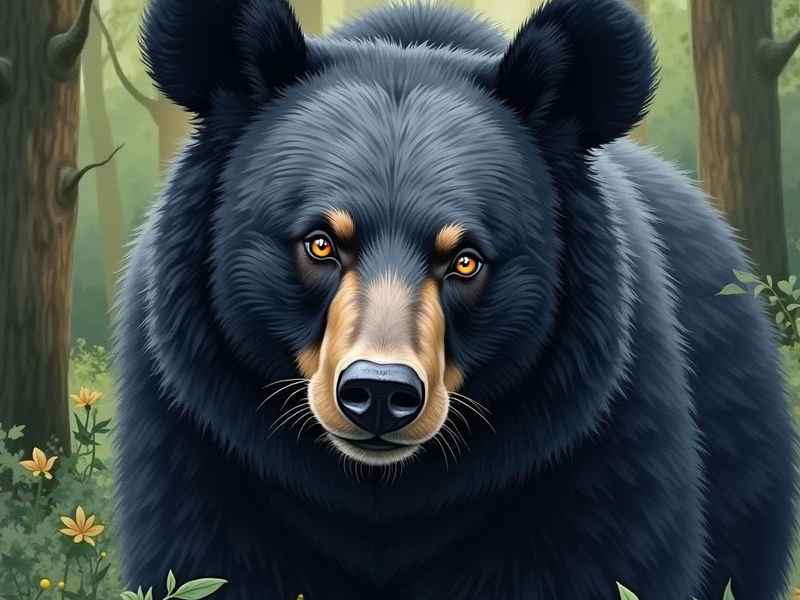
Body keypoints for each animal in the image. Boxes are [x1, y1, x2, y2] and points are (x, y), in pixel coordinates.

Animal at [112, 0, 799, 599]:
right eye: (320, 243)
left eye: (465, 259)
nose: (380, 392)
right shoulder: (201, 441)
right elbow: (206, 563)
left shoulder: (597, 440)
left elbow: (608, 562)